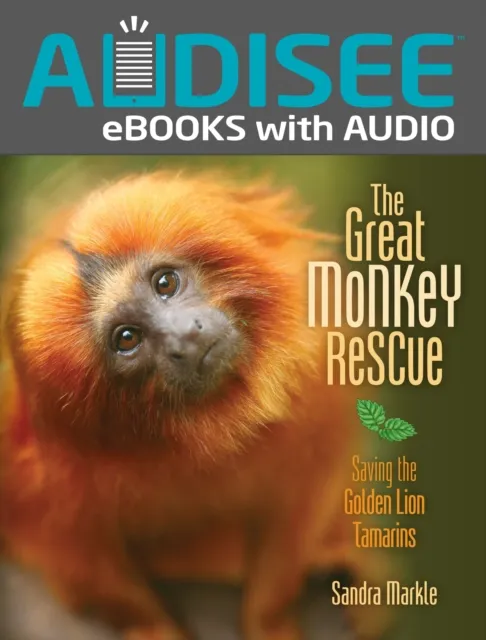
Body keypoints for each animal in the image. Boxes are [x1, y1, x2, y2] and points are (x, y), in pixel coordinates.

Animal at [0, 171, 391, 640]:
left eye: (165, 283)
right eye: (126, 338)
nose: (184, 337)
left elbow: (299, 510)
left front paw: (270, 620)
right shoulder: (39, 472)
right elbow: (74, 555)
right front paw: (153, 628)